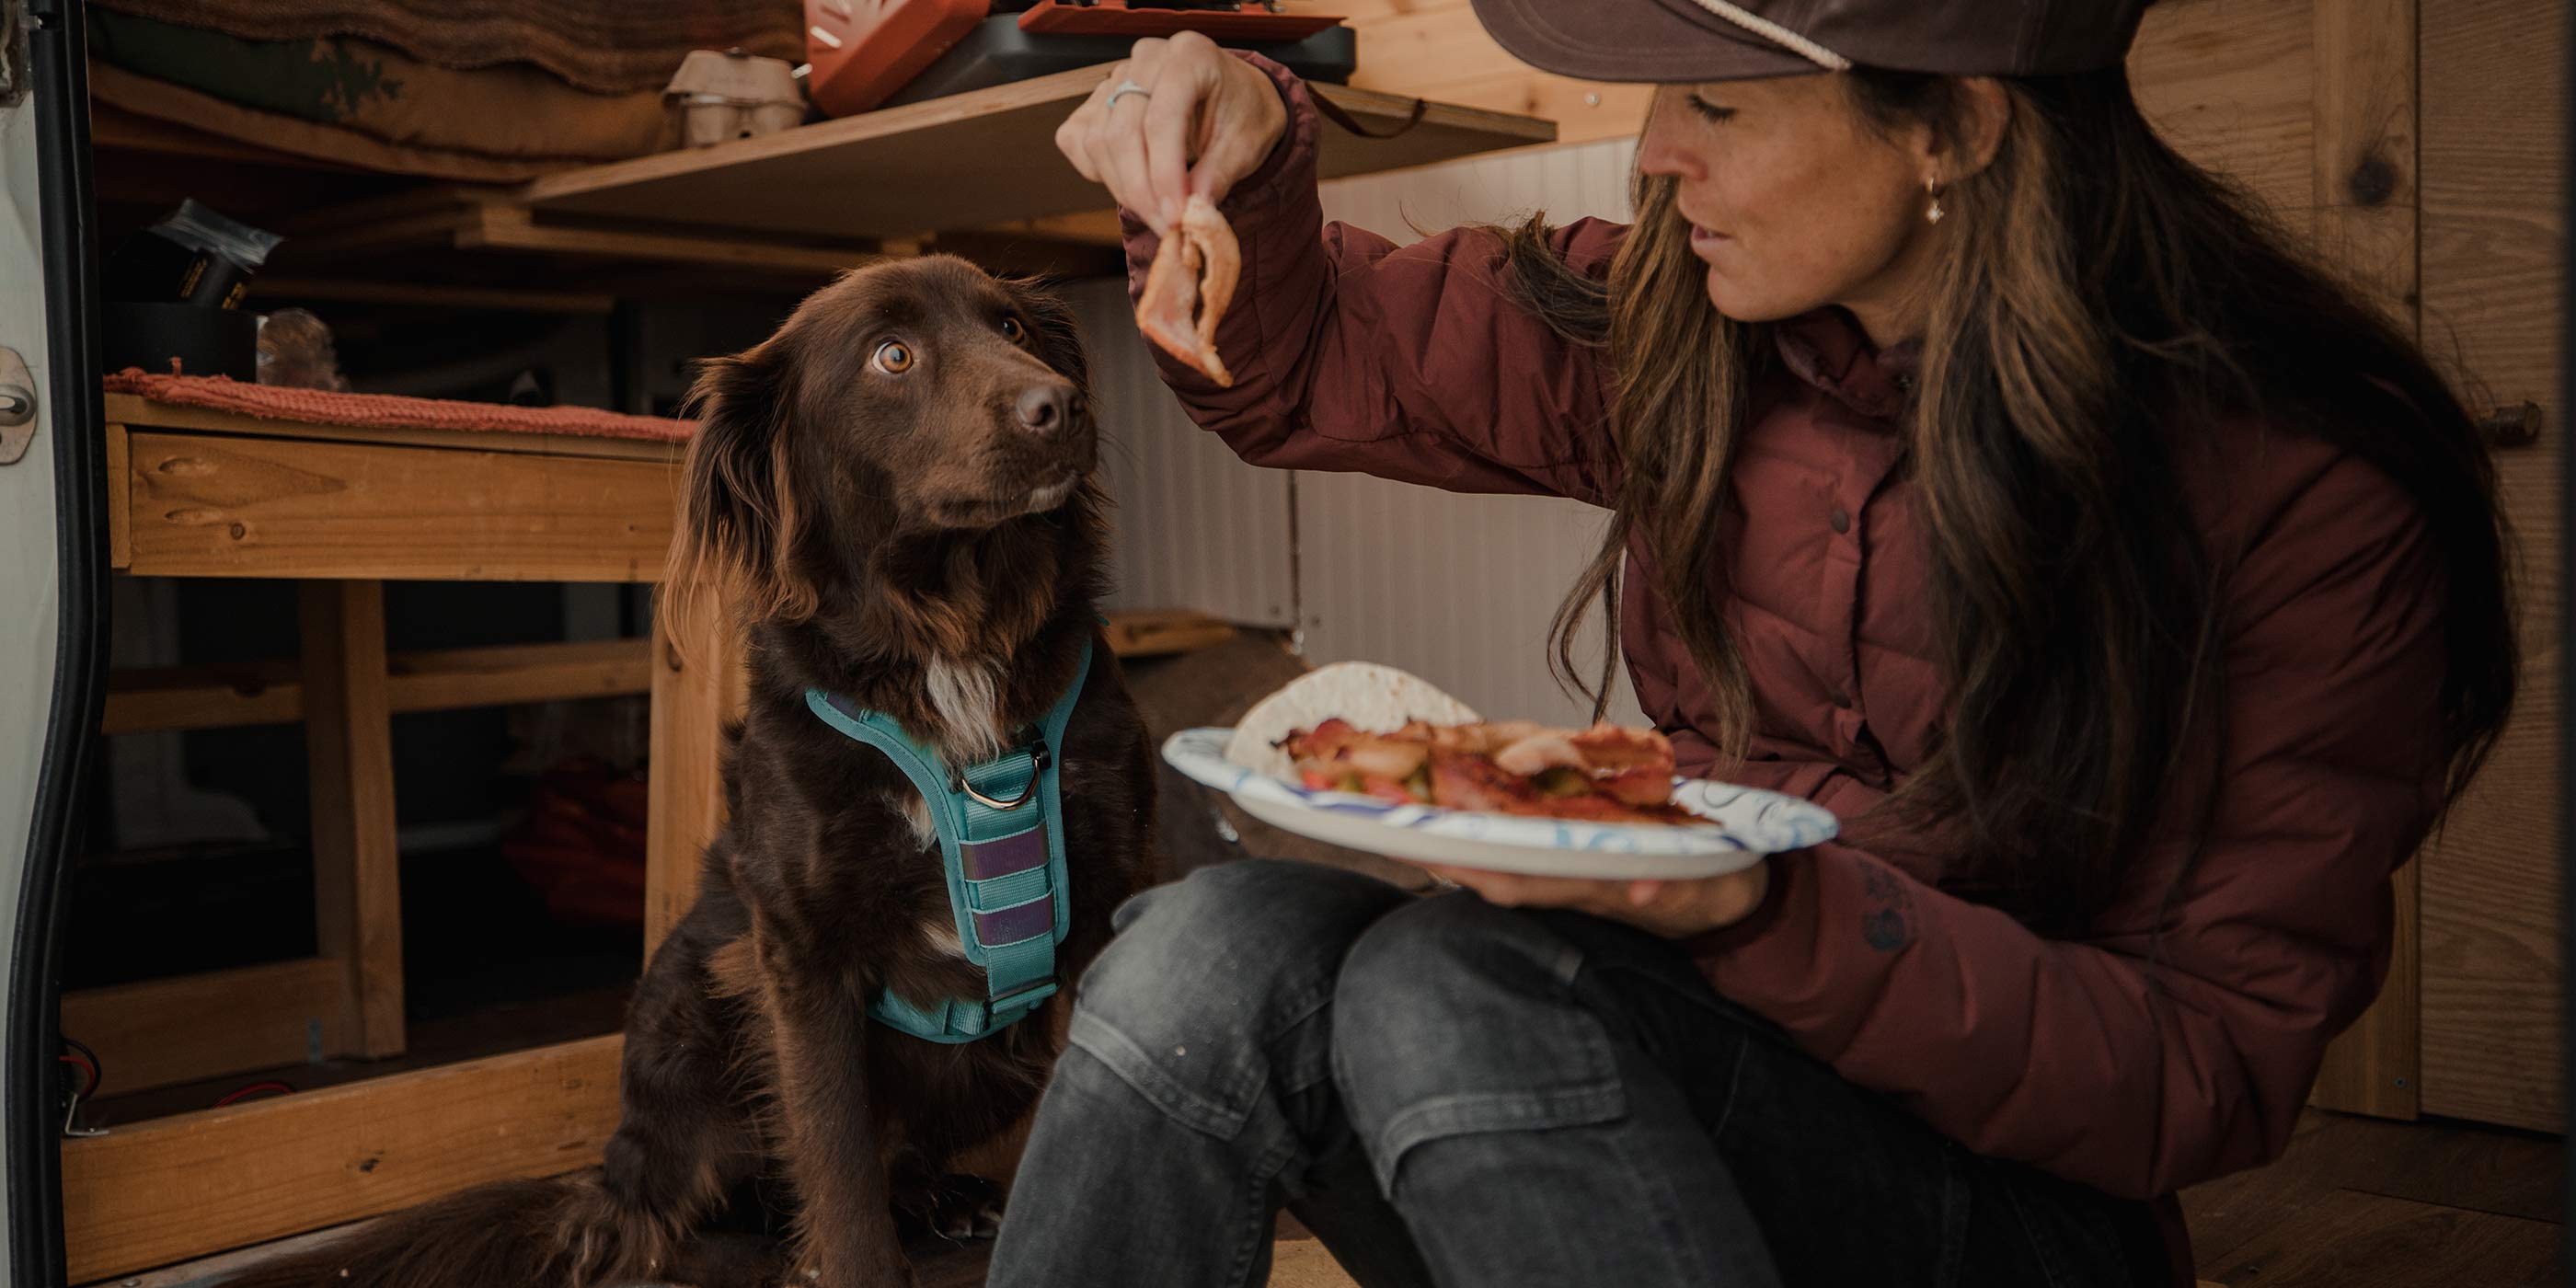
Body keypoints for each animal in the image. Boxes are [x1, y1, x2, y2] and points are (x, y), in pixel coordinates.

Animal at [216, 253, 1164, 1288]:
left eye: (1013, 328)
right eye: (892, 355)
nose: (1060, 406)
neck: (950, 648)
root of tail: (609, 1177)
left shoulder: (1105, 906)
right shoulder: (799, 949)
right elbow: (833, 1149)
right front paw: (853, 1262)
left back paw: (945, 1195)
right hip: (692, 997)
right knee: (680, 1212)